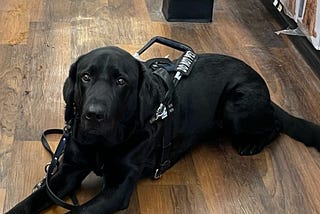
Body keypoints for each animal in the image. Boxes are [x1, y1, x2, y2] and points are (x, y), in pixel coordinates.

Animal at [7, 44, 320, 212]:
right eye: (85, 77)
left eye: (121, 81)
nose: (94, 115)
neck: (102, 146)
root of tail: (257, 78)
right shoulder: (66, 172)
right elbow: (30, 201)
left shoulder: (117, 189)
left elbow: (79, 212)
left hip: (236, 108)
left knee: (275, 124)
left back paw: (252, 143)